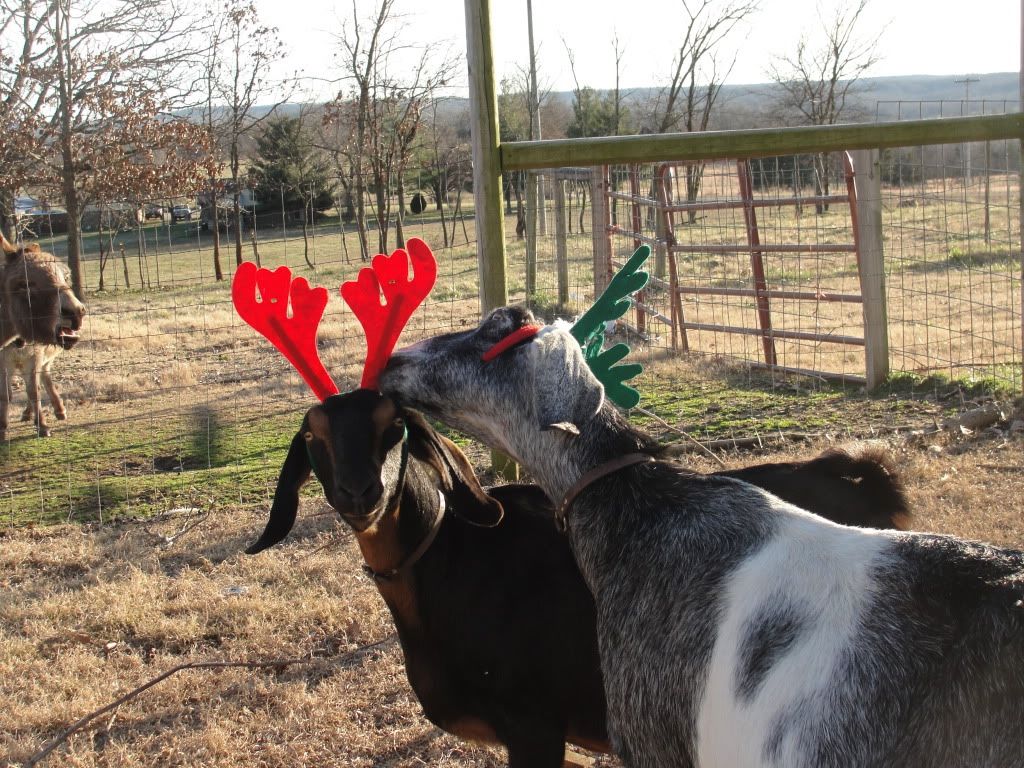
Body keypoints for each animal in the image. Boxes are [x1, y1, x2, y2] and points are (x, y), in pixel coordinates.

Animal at [1, 234, 85, 440]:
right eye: (25, 285)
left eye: (66, 276)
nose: (77, 312)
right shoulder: (3, 361)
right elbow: (5, 395)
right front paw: (2, 428)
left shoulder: (34, 357)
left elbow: (34, 392)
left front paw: (42, 425)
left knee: (42, 378)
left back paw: (56, 410)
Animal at [247, 388, 911, 768]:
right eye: (313, 435)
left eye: (396, 426)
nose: (361, 493)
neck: (453, 560)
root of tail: (858, 479)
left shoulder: (535, 726)